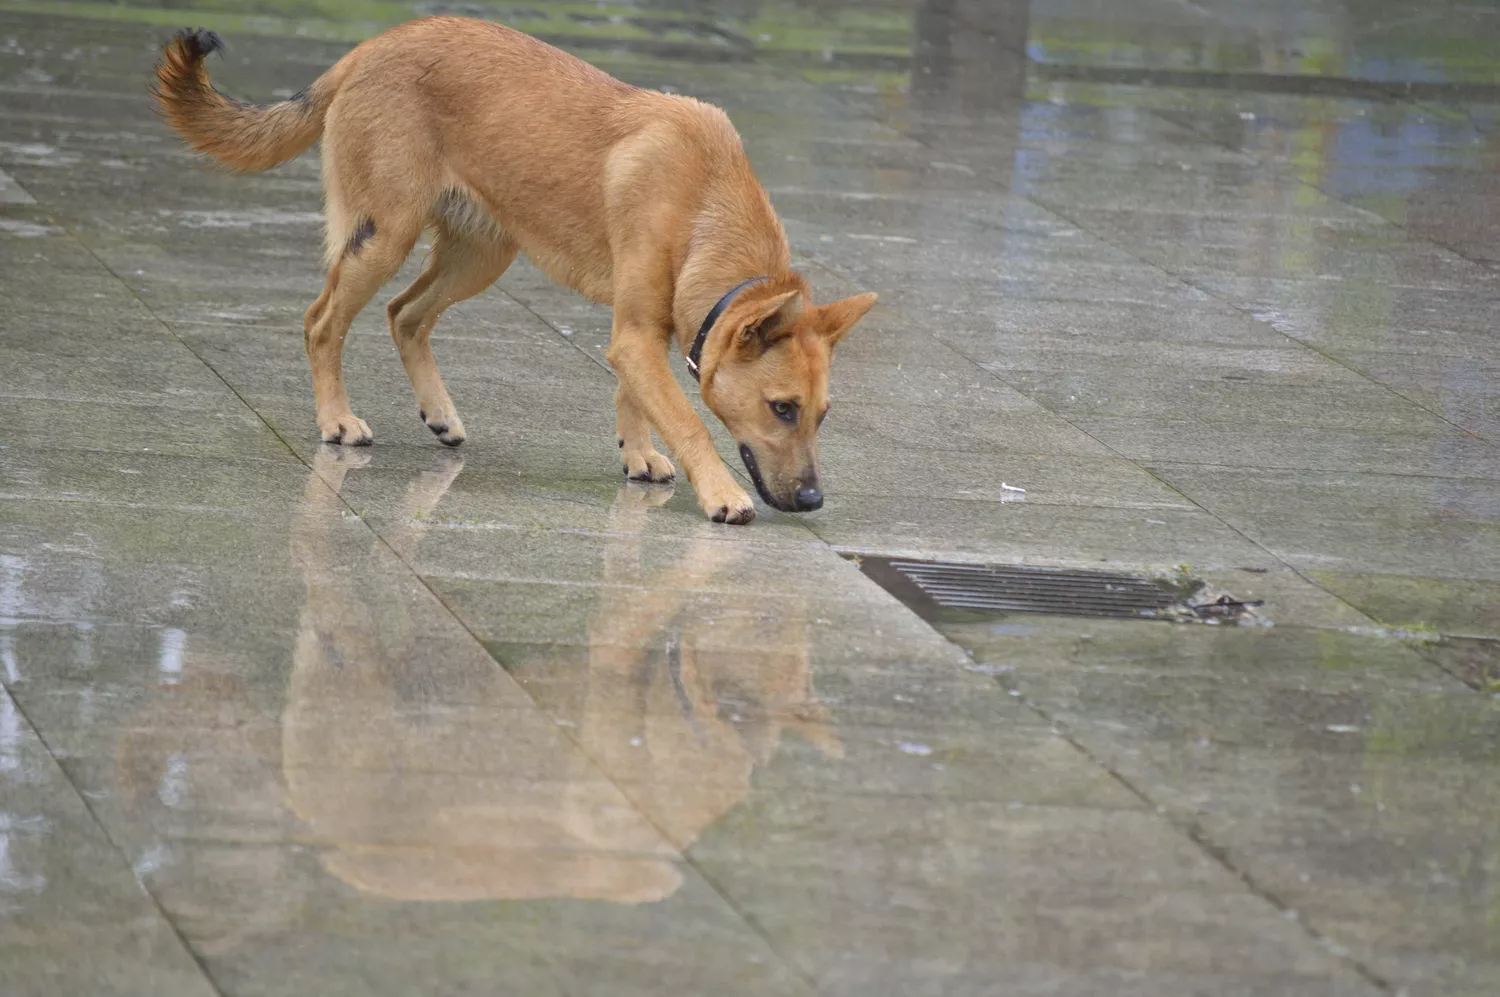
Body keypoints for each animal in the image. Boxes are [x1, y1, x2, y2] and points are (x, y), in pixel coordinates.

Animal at [149, 19, 876, 524]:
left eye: (822, 415)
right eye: (782, 408)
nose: (812, 501)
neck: (705, 202)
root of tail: (370, 47)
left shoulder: (639, 334)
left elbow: (635, 397)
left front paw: (636, 454)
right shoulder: (638, 335)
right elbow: (687, 418)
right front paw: (721, 492)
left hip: (479, 256)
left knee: (404, 314)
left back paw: (439, 413)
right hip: (384, 237)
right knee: (322, 320)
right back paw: (337, 419)